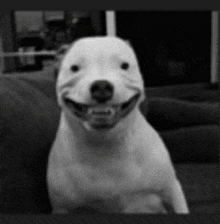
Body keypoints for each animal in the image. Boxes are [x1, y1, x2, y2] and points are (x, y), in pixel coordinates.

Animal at [46, 36, 189, 214]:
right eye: (74, 68)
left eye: (125, 66)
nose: (101, 86)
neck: (105, 143)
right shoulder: (62, 208)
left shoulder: (172, 190)